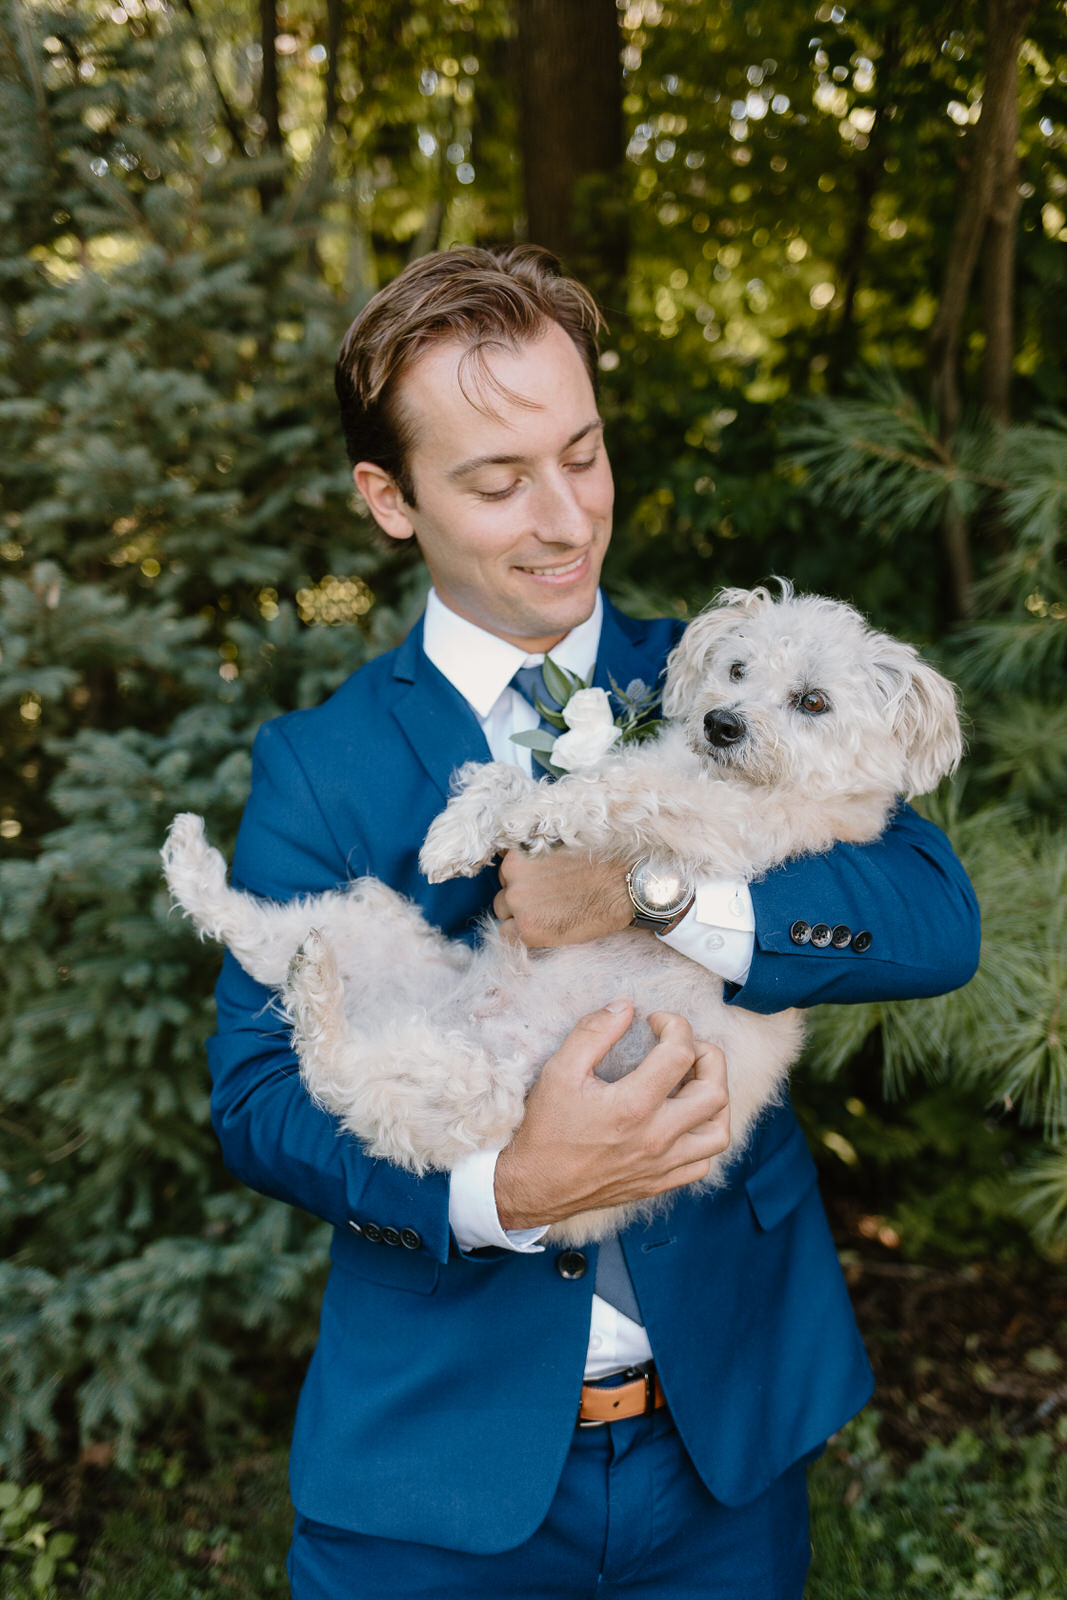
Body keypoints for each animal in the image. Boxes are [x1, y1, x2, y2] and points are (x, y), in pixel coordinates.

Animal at [160, 582, 966, 1241]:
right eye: (738, 670)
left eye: (813, 702)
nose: (721, 723)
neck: (718, 774)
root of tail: (414, 1015)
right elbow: (503, 775)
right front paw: (458, 833)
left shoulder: (721, 828)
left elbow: (612, 791)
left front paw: (538, 818)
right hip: (375, 930)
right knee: (260, 938)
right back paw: (196, 863)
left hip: (477, 1092)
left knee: (333, 1070)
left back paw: (313, 989)